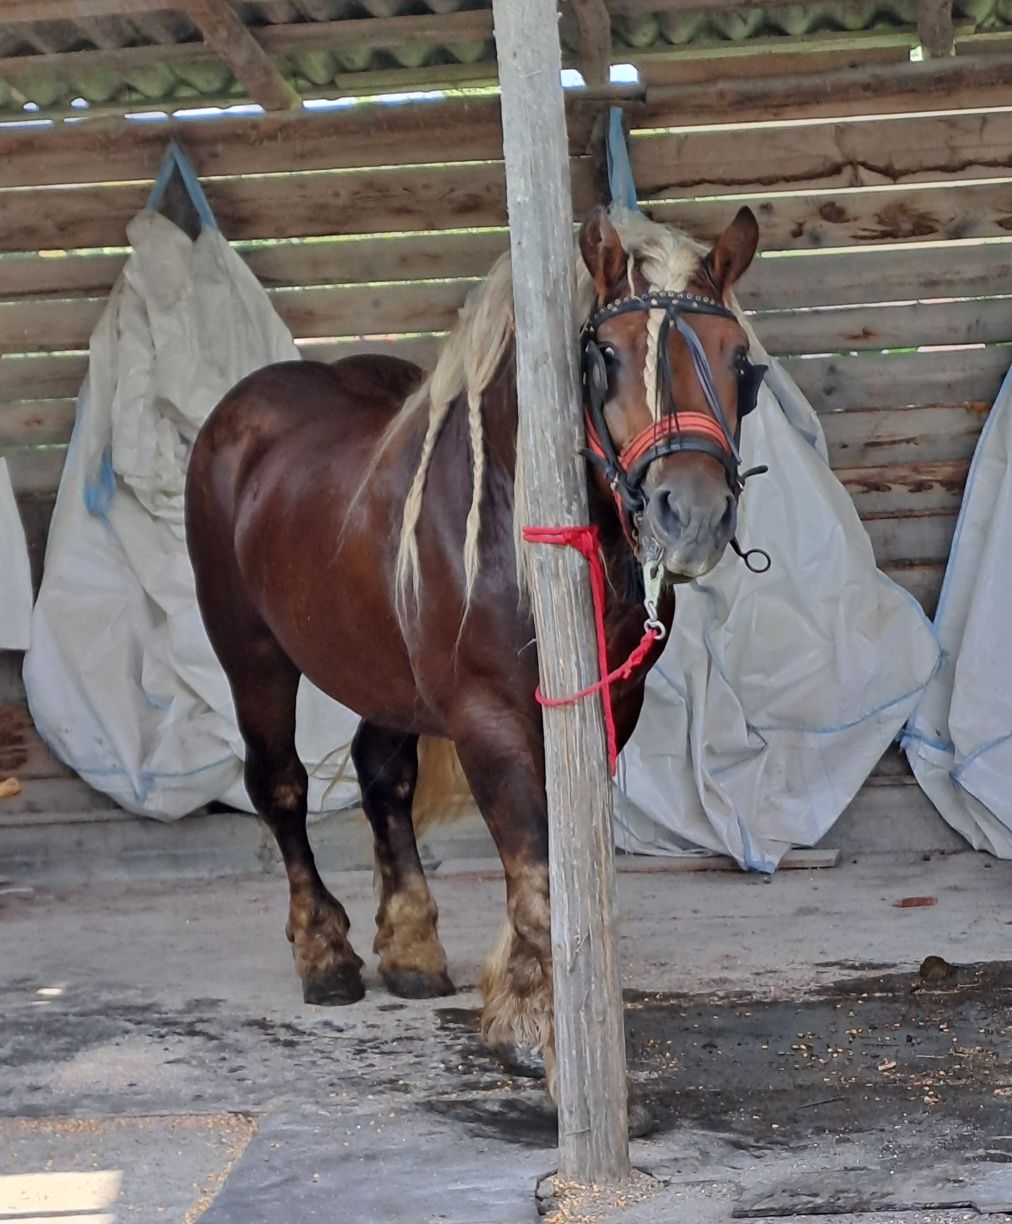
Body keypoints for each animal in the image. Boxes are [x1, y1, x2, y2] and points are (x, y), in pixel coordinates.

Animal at [186, 200, 763, 1091]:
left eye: (739, 362)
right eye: (606, 355)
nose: (692, 514)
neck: (516, 521)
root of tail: (242, 407)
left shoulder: (606, 707)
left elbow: (561, 855)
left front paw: (529, 998)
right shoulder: (486, 717)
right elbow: (536, 867)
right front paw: (540, 1028)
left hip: (387, 671)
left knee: (382, 775)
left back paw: (411, 947)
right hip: (251, 653)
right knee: (279, 786)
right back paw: (325, 954)